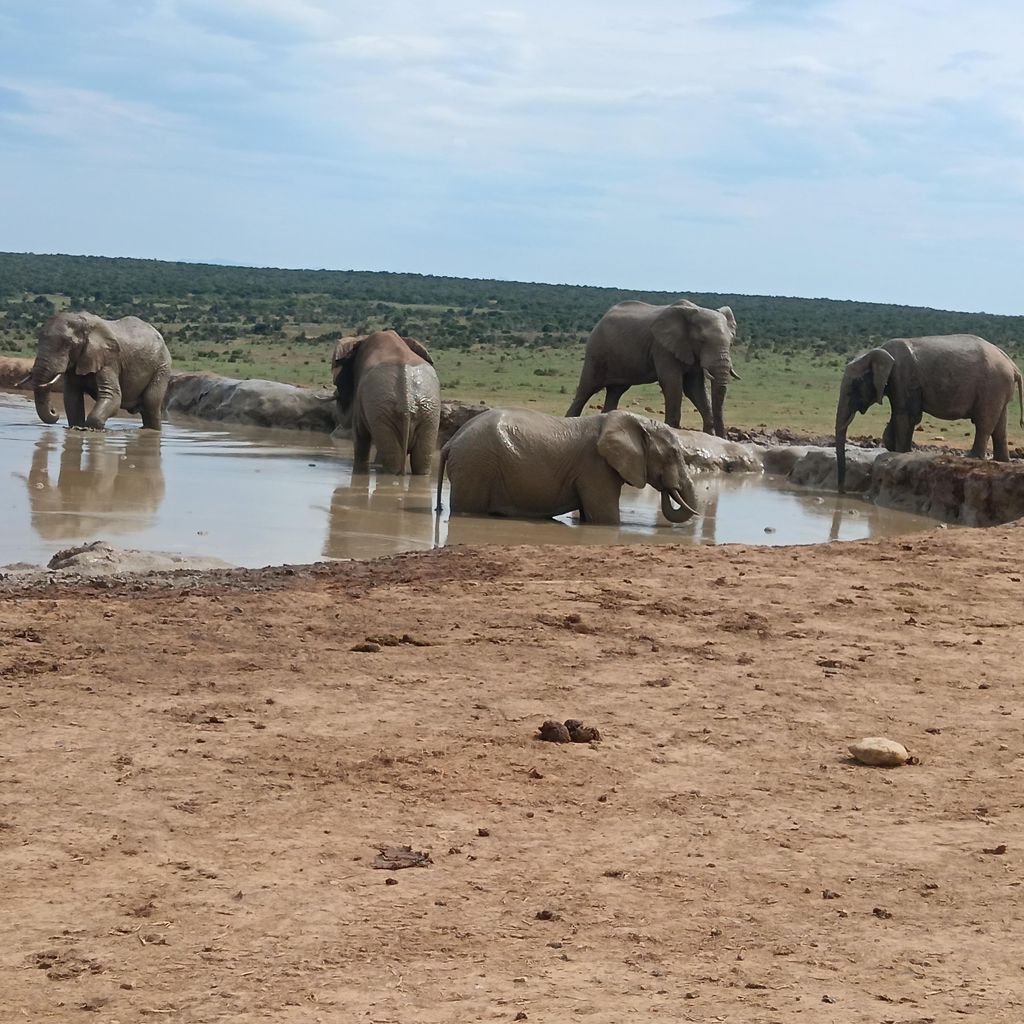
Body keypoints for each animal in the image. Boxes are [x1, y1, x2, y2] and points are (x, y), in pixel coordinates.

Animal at [30, 311, 172, 430]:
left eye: (68, 344)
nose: (54, 411)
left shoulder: (109, 360)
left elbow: (113, 396)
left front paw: (90, 429)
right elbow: (72, 396)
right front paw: (76, 427)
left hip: (162, 366)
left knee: (150, 402)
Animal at [331, 330, 441, 475]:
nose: (336, 394)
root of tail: (408, 402)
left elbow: (361, 435)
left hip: (384, 409)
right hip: (429, 413)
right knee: (420, 461)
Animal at [435, 408, 700, 525]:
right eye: (673, 453)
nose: (669, 486)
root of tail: (451, 442)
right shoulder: (595, 467)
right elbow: (606, 518)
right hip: (476, 466)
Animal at [565, 299, 740, 437]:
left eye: (731, 342)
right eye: (702, 341)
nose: (723, 438)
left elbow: (695, 389)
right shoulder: (662, 347)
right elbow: (672, 383)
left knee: (615, 391)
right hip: (596, 350)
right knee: (586, 389)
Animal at [835, 334, 1024, 492]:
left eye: (854, 385)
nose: (842, 490)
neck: (878, 352)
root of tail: (1013, 366)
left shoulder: (903, 376)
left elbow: (906, 415)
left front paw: (901, 453)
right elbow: (899, 416)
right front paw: (896, 449)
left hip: (992, 385)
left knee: (984, 422)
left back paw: (973, 457)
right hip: (1000, 388)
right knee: (999, 426)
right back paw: (1002, 461)